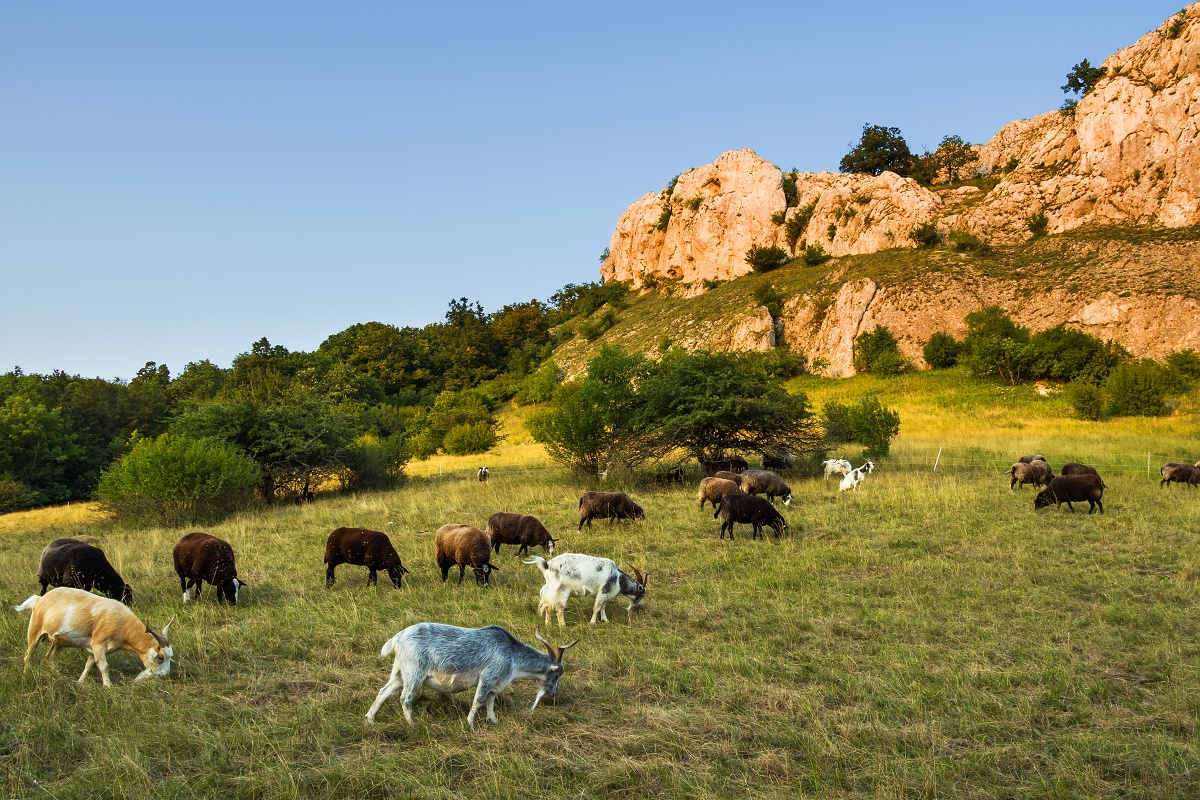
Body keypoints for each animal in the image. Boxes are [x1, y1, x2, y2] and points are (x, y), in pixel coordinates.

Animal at [14, 587, 174, 690]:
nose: (165, 675)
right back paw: (25, 674)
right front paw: (108, 686)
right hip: (34, 632)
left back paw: (57, 676)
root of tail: (39, 599)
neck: (119, 620)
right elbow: (104, 666)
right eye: (160, 657)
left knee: (50, 657)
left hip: (59, 642)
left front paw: (80, 682)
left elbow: (89, 664)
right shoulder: (98, 645)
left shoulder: (94, 649)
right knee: (28, 655)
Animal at [360, 623, 576, 729]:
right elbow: (478, 700)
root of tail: (397, 638)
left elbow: (490, 701)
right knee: (405, 697)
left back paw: (370, 720)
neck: (512, 653)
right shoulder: (489, 675)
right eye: (558, 674)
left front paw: (494, 721)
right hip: (415, 672)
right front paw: (469, 724)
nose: (554, 694)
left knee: (384, 691)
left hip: (399, 672)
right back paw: (413, 724)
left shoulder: (495, 682)